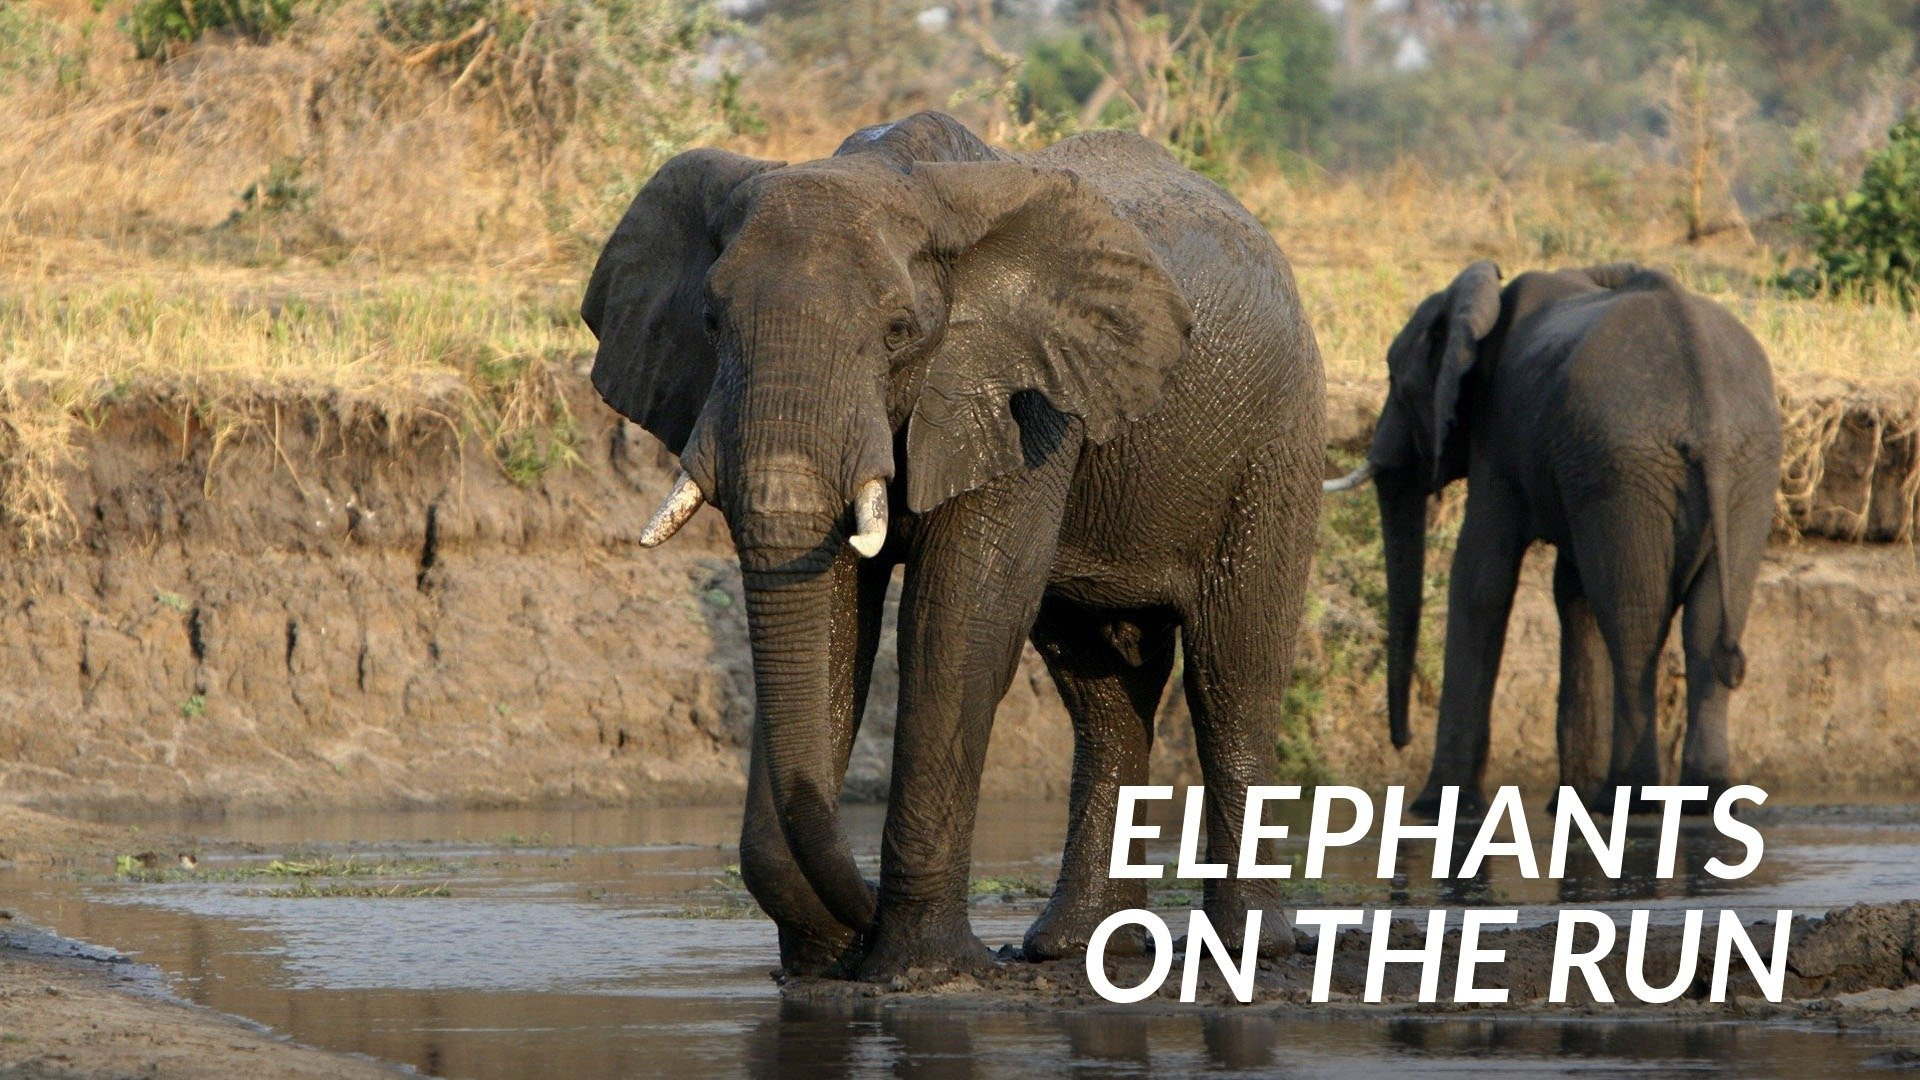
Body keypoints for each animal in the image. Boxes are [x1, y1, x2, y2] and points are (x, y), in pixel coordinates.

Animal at [581, 112, 1325, 979]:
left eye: (899, 332)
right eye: (709, 323)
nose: (860, 917)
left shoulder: (1025, 399)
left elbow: (958, 624)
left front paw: (921, 973)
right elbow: (835, 629)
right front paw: (825, 968)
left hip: (1276, 445)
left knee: (1233, 675)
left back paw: (1248, 950)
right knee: (1101, 689)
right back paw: (1070, 949)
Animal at [1324, 262, 1781, 815]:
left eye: (1395, 379)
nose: (1400, 740)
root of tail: (1708, 406)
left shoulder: (1498, 433)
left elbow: (1480, 578)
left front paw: (1438, 810)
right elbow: (1572, 592)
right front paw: (1567, 805)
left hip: (1632, 461)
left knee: (1635, 621)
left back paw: (1628, 799)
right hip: (1739, 470)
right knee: (1705, 622)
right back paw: (1702, 800)